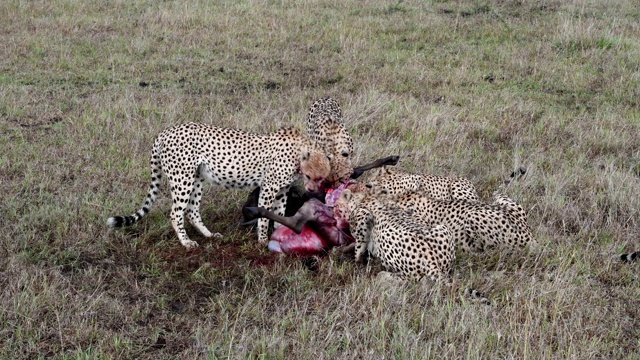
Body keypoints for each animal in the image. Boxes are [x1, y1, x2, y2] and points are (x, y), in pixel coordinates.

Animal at [107, 122, 328, 249]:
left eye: (322, 179)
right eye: (309, 176)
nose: (311, 191)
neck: (300, 152)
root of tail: (165, 131)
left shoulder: (282, 191)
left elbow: (280, 215)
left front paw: (280, 235)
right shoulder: (269, 188)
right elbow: (265, 216)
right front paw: (263, 239)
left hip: (197, 178)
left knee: (192, 210)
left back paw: (209, 235)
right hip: (182, 179)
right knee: (176, 212)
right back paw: (186, 242)